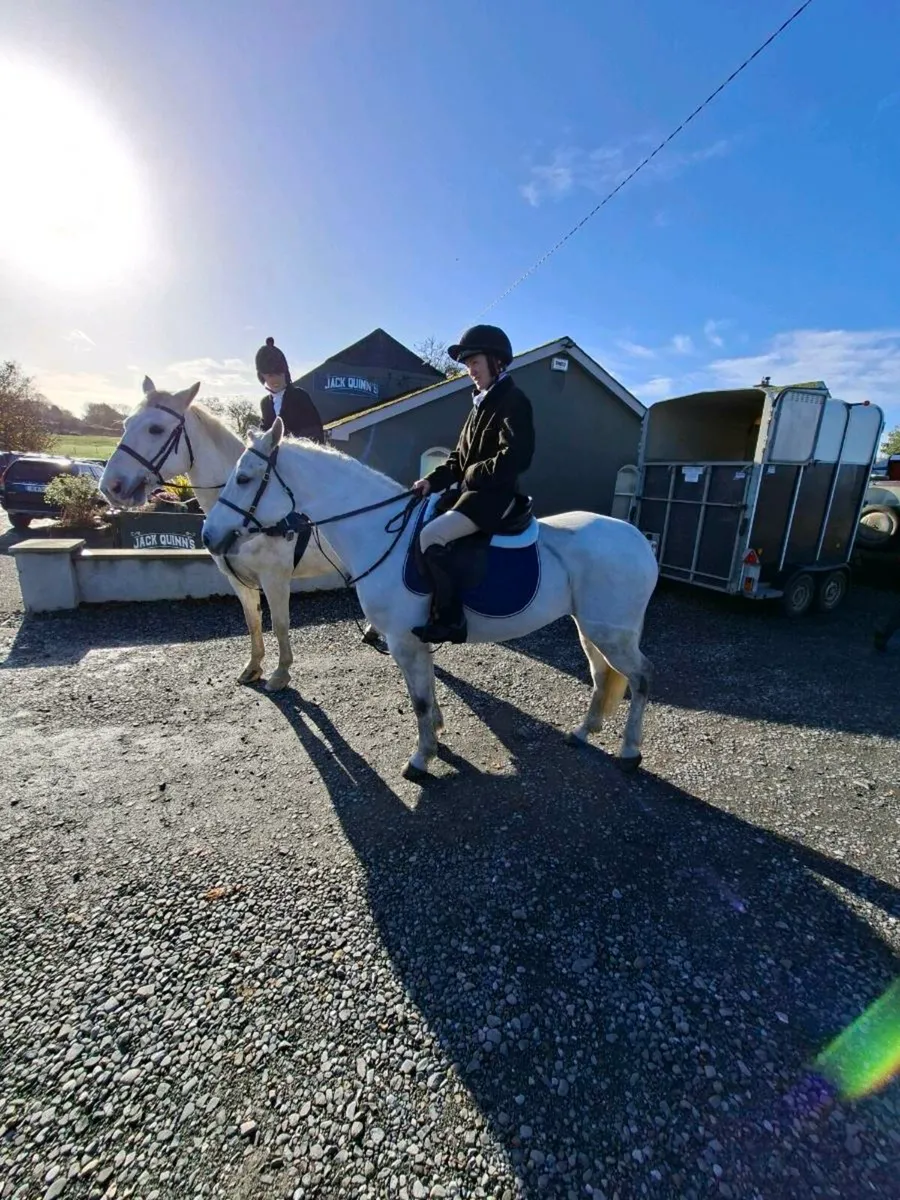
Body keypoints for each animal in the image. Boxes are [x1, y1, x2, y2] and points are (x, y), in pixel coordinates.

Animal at [99, 377, 377, 692]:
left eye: (155, 428)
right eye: (126, 423)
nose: (111, 486)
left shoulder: (274, 578)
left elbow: (280, 624)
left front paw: (281, 672)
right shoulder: (238, 580)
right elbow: (252, 621)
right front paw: (253, 667)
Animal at [200, 417, 660, 780]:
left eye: (244, 478)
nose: (208, 536)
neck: (378, 531)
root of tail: (639, 540)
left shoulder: (404, 641)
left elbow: (419, 700)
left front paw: (421, 759)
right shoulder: (415, 642)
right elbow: (429, 695)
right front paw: (436, 738)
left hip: (609, 632)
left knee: (641, 678)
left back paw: (629, 752)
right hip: (592, 628)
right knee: (602, 676)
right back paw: (583, 733)